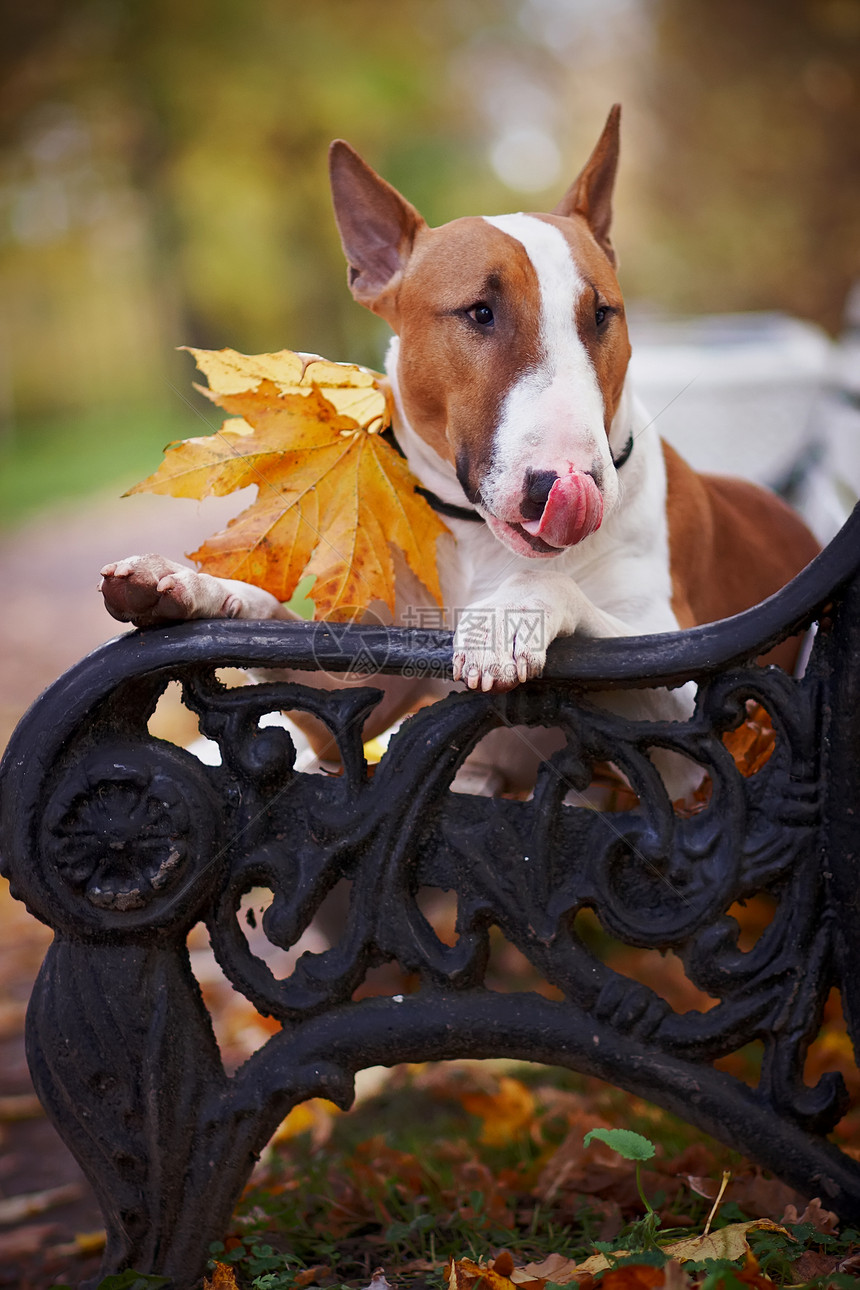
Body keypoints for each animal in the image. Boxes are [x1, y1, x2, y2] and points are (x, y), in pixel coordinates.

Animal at [101, 108, 820, 794]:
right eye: (479, 312)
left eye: (602, 315)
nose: (561, 485)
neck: (481, 546)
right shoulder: (350, 711)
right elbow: (276, 632)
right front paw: (183, 586)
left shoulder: (701, 731)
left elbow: (582, 608)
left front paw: (508, 616)